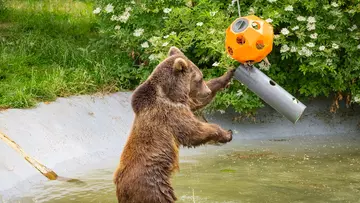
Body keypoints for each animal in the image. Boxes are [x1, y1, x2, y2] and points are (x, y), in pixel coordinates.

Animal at [114, 46, 235, 203]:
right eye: (200, 78)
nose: (207, 91)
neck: (170, 93)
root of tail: (121, 189)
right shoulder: (170, 113)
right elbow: (192, 131)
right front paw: (226, 134)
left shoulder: (184, 102)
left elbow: (197, 102)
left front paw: (229, 74)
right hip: (152, 188)